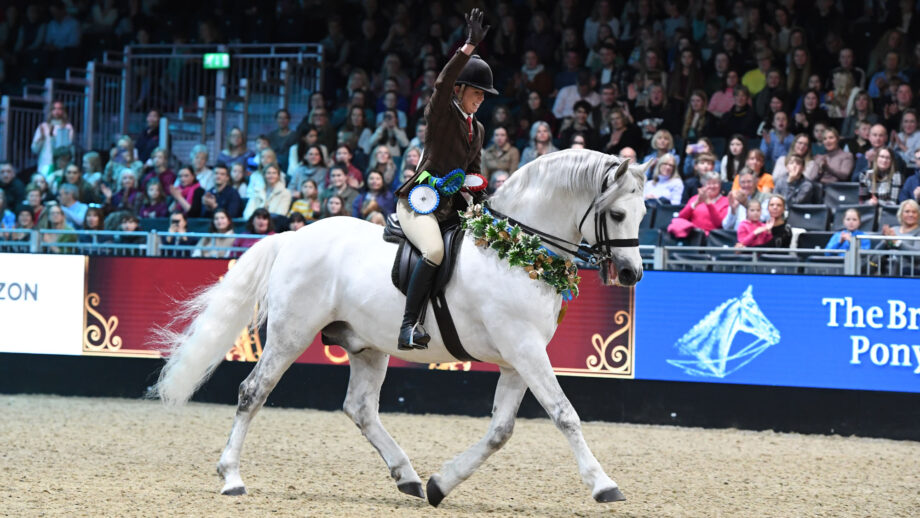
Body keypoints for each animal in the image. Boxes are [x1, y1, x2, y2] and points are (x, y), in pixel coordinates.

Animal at [150, 149, 649, 506]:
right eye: (618, 214)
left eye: (644, 214)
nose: (631, 274)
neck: (514, 250)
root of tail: (293, 236)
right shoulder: (525, 350)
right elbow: (565, 415)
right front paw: (603, 484)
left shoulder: (517, 359)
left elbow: (500, 431)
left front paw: (441, 484)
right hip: (290, 335)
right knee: (253, 392)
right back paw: (231, 477)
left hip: (367, 345)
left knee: (360, 408)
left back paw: (407, 476)